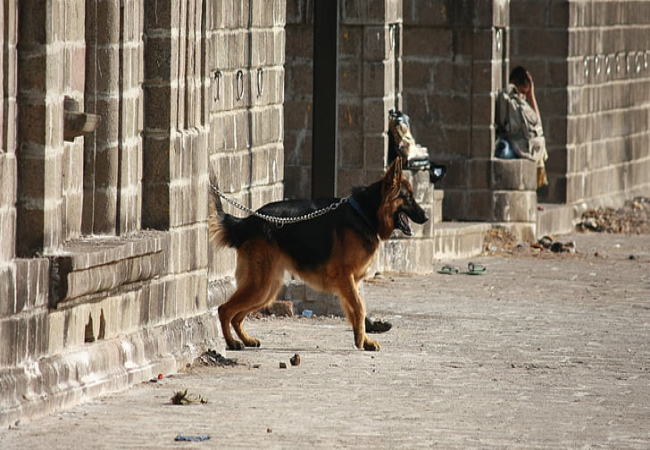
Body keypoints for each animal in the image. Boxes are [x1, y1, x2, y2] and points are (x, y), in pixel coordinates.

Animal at [208, 158, 428, 352]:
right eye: (408, 197)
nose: (426, 217)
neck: (364, 214)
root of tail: (248, 221)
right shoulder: (345, 278)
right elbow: (359, 308)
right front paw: (361, 340)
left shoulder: (350, 283)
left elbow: (355, 311)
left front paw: (363, 339)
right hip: (260, 285)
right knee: (224, 309)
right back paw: (232, 343)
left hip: (267, 289)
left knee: (237, 316)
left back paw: (246, 340)